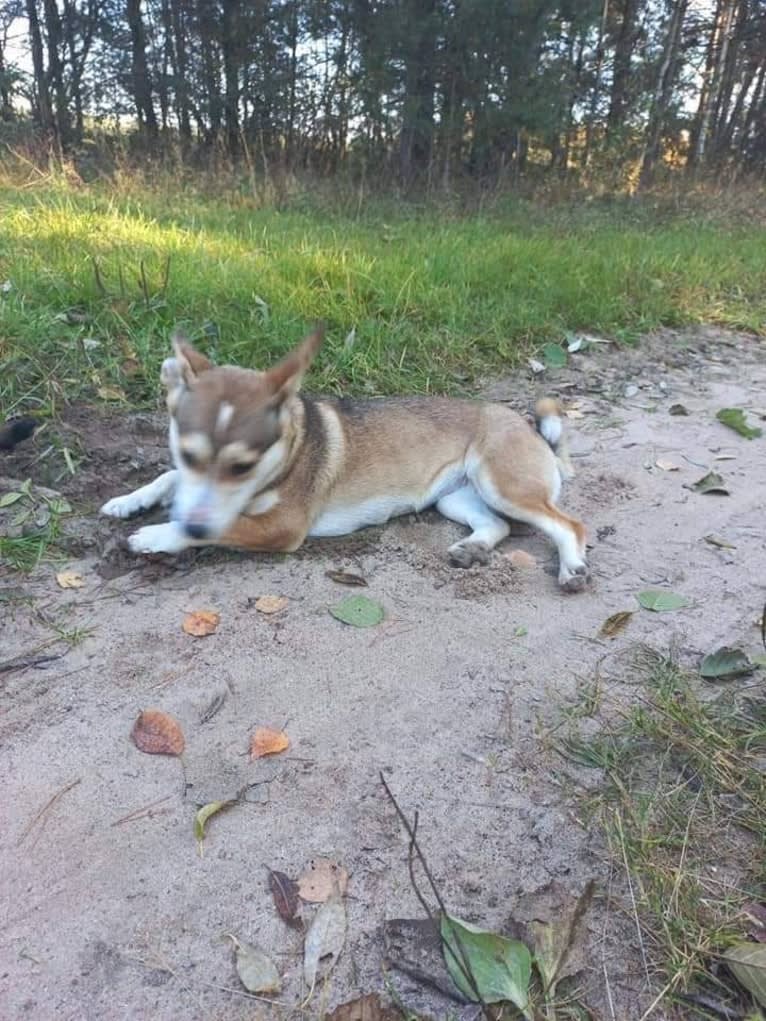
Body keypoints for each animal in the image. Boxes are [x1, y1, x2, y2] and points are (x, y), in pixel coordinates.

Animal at [102, 326, 592, 592]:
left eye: (243, 465)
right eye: (188, 453)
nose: (195, 522)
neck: (286, 454)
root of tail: (529, 428)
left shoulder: (281, 527)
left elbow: (218, 527)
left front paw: (156, 535)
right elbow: (169, 479)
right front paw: (128, 501)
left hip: (502, 484)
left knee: (568, 524)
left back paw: (572, 568)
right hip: (454, 497)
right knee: (498, 526)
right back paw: (472, 550)